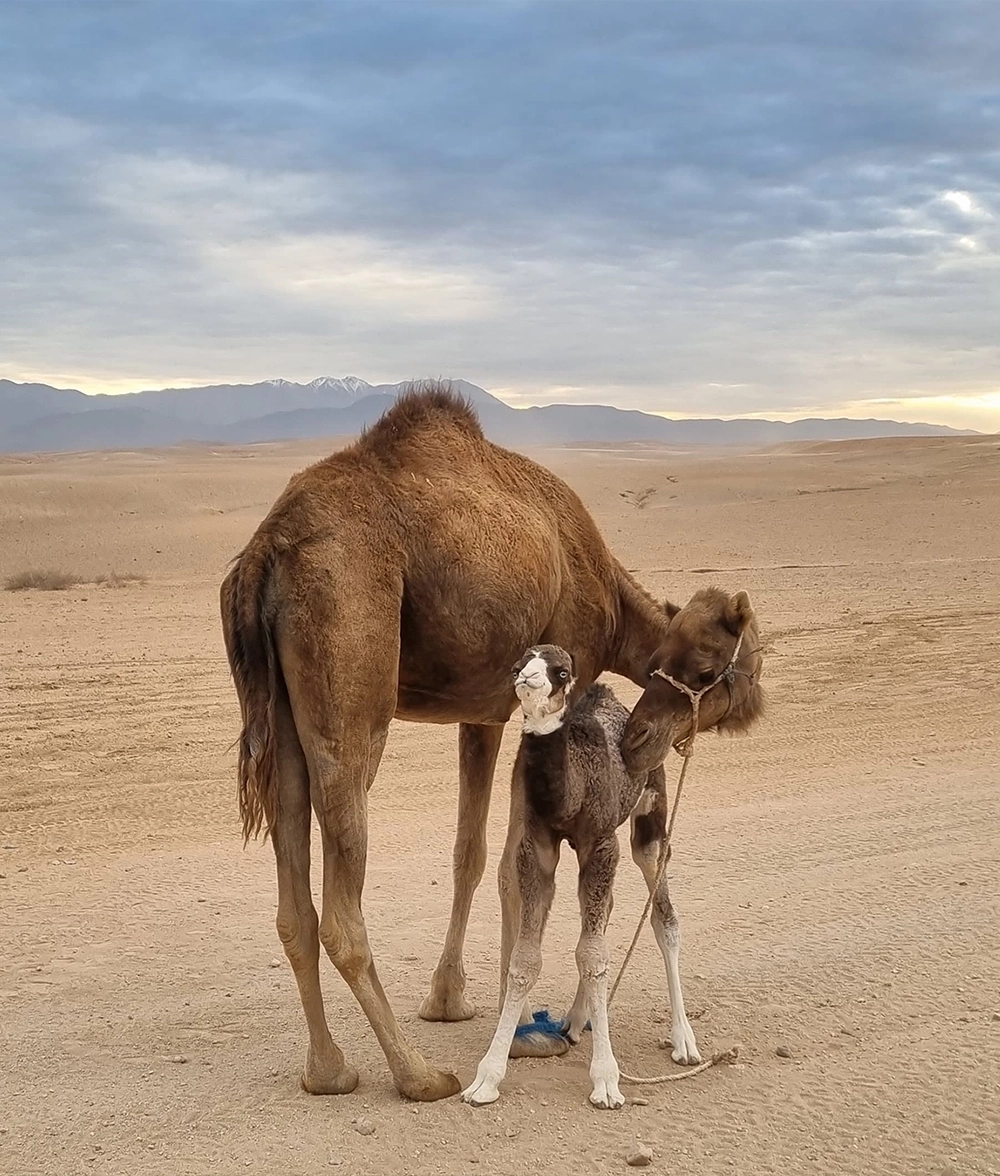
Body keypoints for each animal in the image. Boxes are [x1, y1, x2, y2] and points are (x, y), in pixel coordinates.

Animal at [463, 644, 700, 1110]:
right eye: (521, 660)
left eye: (560, 671)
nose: (525, 677)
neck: (569, 791)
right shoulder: (536, 847)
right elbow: (526, 958)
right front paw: (486, 1078)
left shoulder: (601, 844)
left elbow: (593, 954)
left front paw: (606, 1080)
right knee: (606, 911)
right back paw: (576, 1020)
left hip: (651, 813)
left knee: (663, 914)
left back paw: (684, 1039)